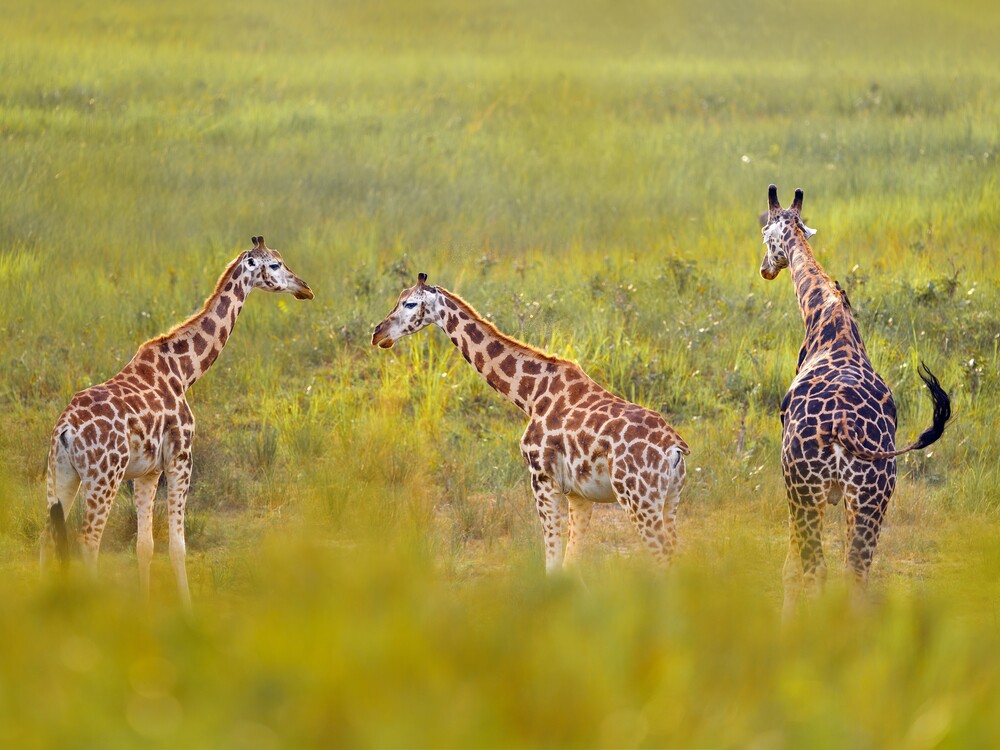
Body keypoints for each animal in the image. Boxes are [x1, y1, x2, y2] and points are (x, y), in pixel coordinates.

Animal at [42, 236, 313, 607]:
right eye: (274, 264)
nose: (305, 288)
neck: (185, 372)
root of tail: (66, 430)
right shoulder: (181, 458)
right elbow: (177, 547)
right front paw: (187, 607)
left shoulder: (147, 472)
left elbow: (144, 546)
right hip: (103, 476)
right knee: (88, 543)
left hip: (61, 474)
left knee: (47, 538)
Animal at [371, 273, 690, 573]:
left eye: (410, 303)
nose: (378, 334)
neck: (530, 394)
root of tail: (674, 449)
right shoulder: (578, 495)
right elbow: (570, 562)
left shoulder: (541, 479)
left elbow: (552, 562)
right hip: (669, 500)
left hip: (638, 499)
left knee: (665, 557)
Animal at [759, 185, 951, 617]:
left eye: (765, 236)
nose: (765, 269)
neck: (827, 319)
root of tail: (840, 428)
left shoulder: (797, 490)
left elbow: (789, 569)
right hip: (872, 498)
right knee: (855, 576)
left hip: (807, 491)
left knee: (816, 570)